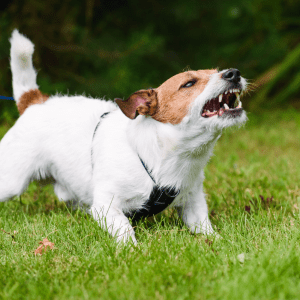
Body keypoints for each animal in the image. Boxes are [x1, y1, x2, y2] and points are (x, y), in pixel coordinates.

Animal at [0, 29, 247, 243]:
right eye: (188, 83)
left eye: (216, 71)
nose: (234, 73)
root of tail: (35, 101)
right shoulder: (105, 206)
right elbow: (124, 228)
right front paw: (132, 250)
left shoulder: (193, 203)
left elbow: (204, 227)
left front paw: (218, 243)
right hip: (11, 182)